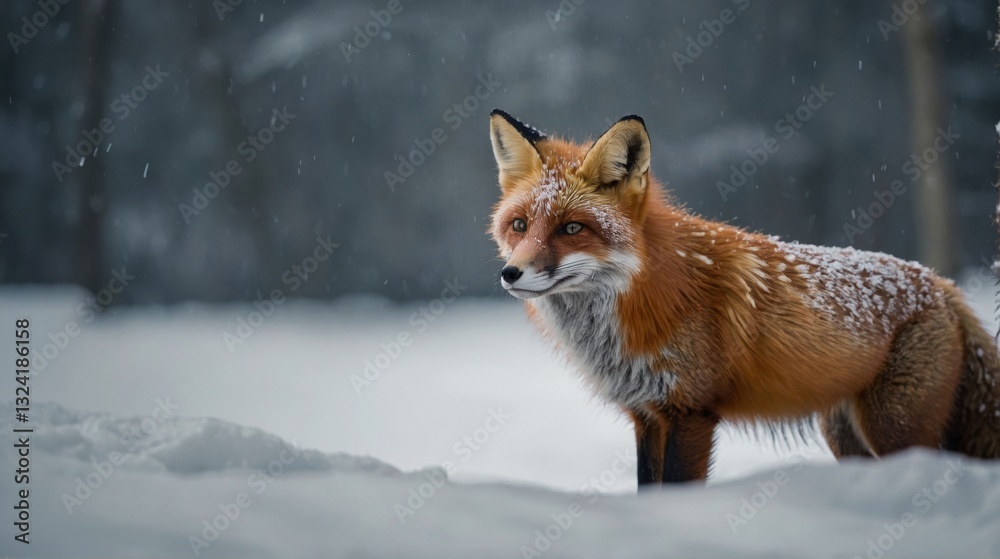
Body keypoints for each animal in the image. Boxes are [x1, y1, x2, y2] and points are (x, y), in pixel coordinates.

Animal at [486, 109, 1000, 487]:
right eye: (519, 225)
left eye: (572, 228)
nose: (511, 274)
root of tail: (942, 285)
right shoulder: (647, 415)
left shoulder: (690, 412)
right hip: (846, 435)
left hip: (894, 427)